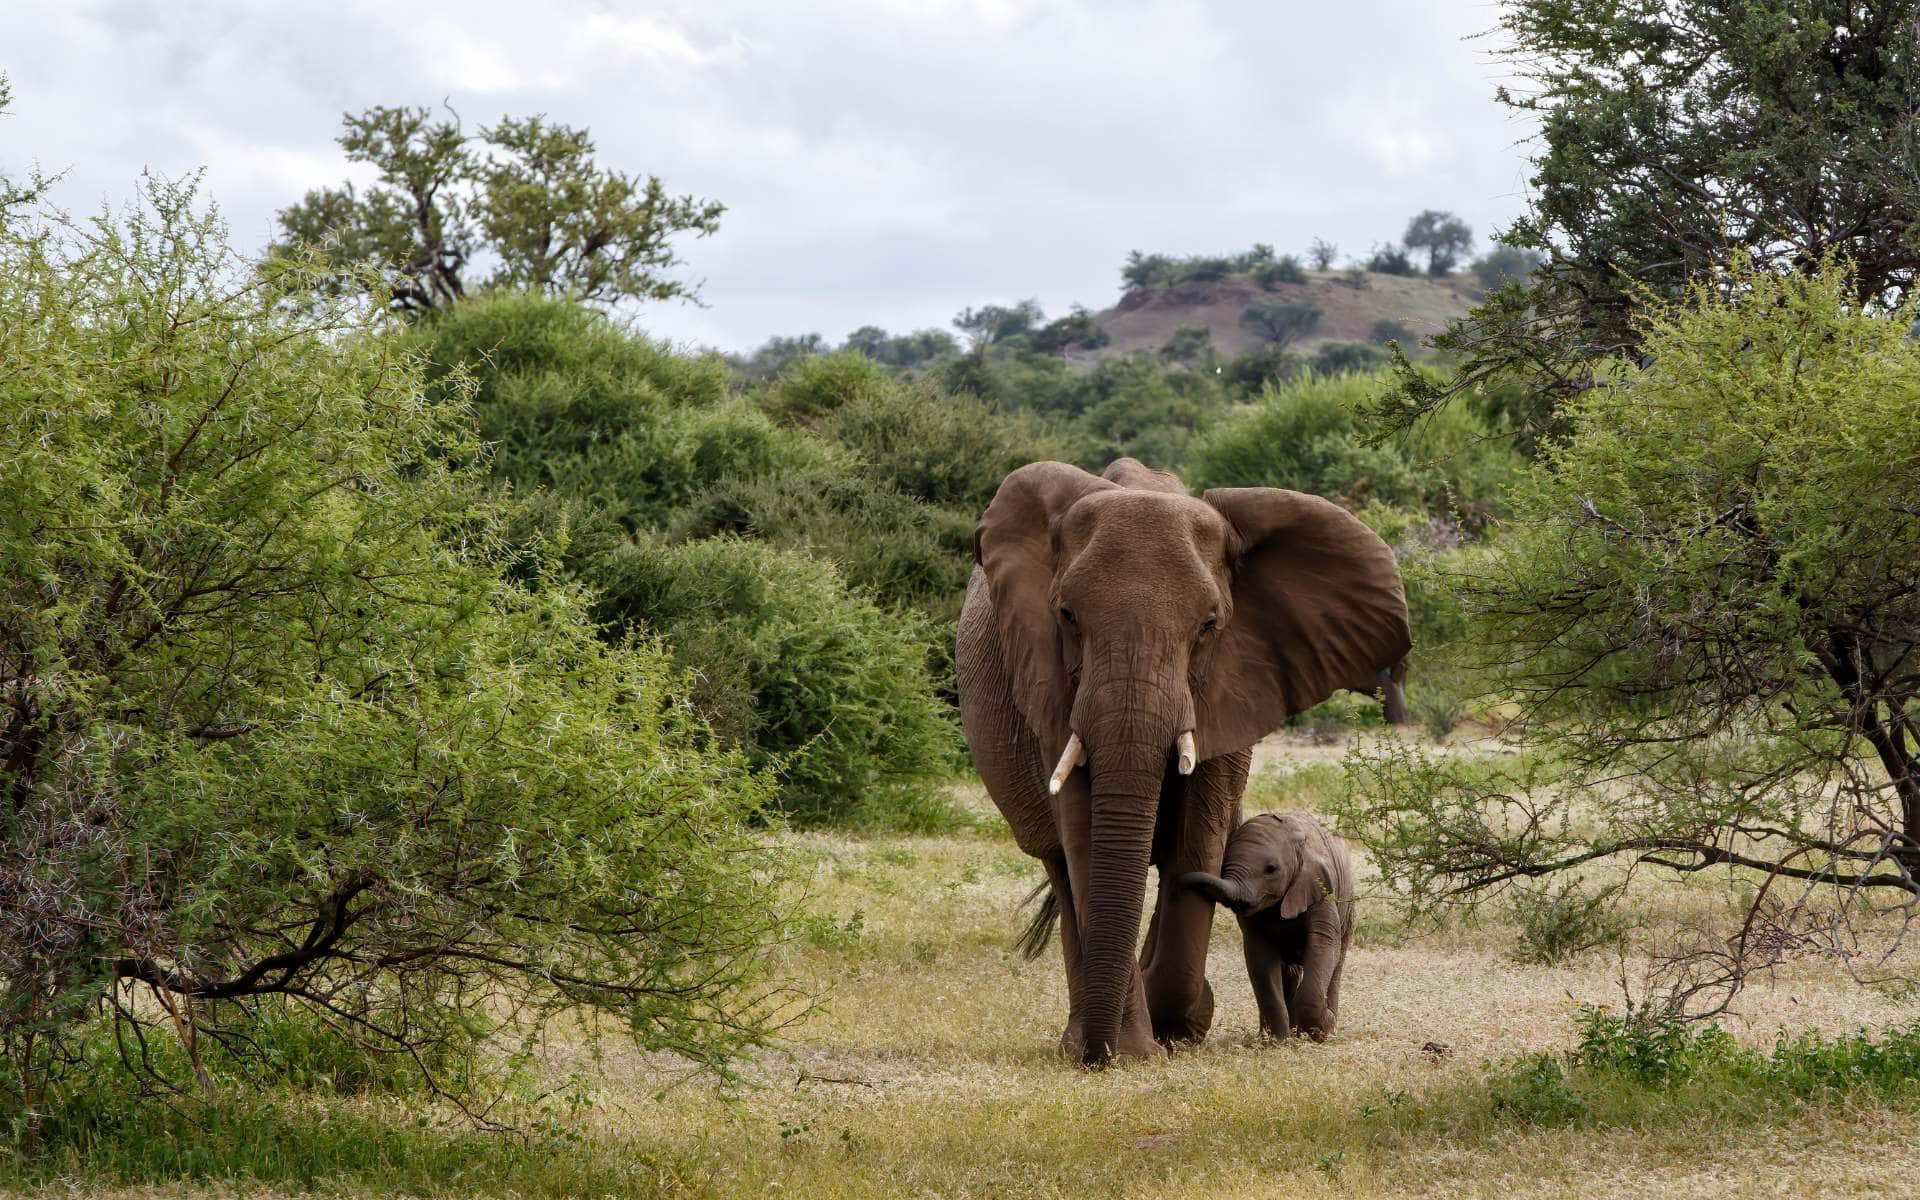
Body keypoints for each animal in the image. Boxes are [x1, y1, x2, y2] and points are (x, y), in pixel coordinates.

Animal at [1178, 812, 1356, 1042]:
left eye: (1271, 869)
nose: (1178, 884)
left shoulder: (1321, 888)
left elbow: (1323, 943)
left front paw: (1323, 1027)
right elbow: (1261, 961)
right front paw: (1275, 1042)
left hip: (1348, 906)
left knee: (1337, 961)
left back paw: (1324, 1028)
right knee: (1289, 971)